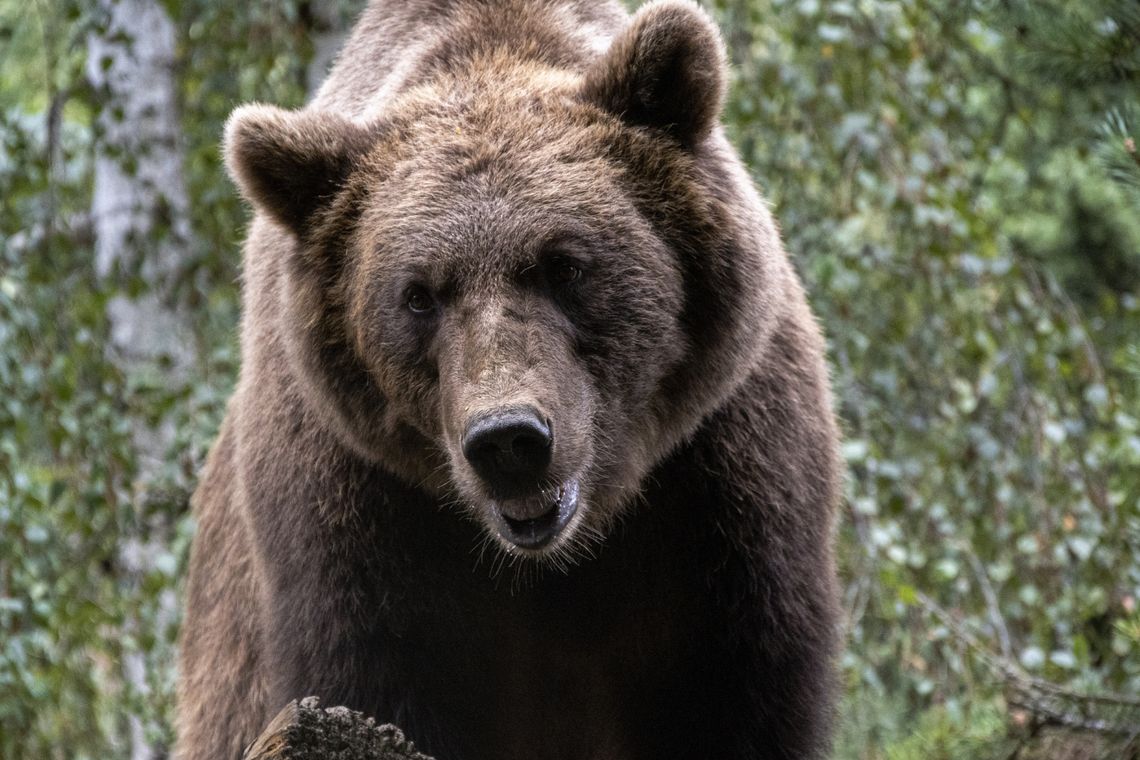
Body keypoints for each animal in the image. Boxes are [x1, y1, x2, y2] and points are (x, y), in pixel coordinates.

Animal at [175, 1, 839, 760]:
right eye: (418, 295)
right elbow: (366, 674)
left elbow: (734, 693)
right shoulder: (354, 506)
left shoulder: (721, 486)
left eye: (564, 264)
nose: (509, 440)